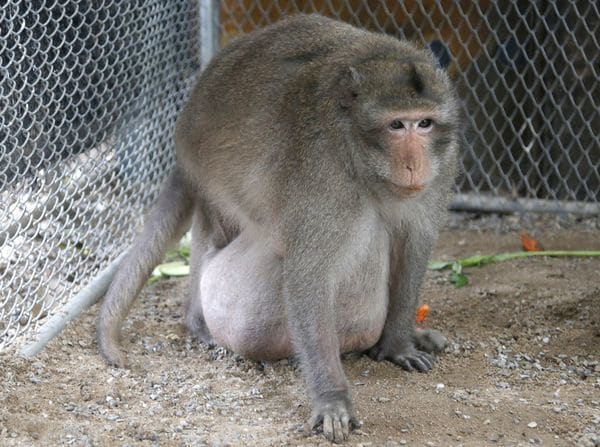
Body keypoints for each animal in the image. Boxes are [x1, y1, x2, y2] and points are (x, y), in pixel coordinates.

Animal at [96, 14, 460, 444]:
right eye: (396, 125)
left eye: (425, 124)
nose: (413, 164)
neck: (356, 149)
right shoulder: (323, 176)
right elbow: (309, 276)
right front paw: (332, 399)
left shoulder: (442, 167)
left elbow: (415, 245)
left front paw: (399, 343)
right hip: (210, 175)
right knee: (221, 230)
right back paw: (197, 319)